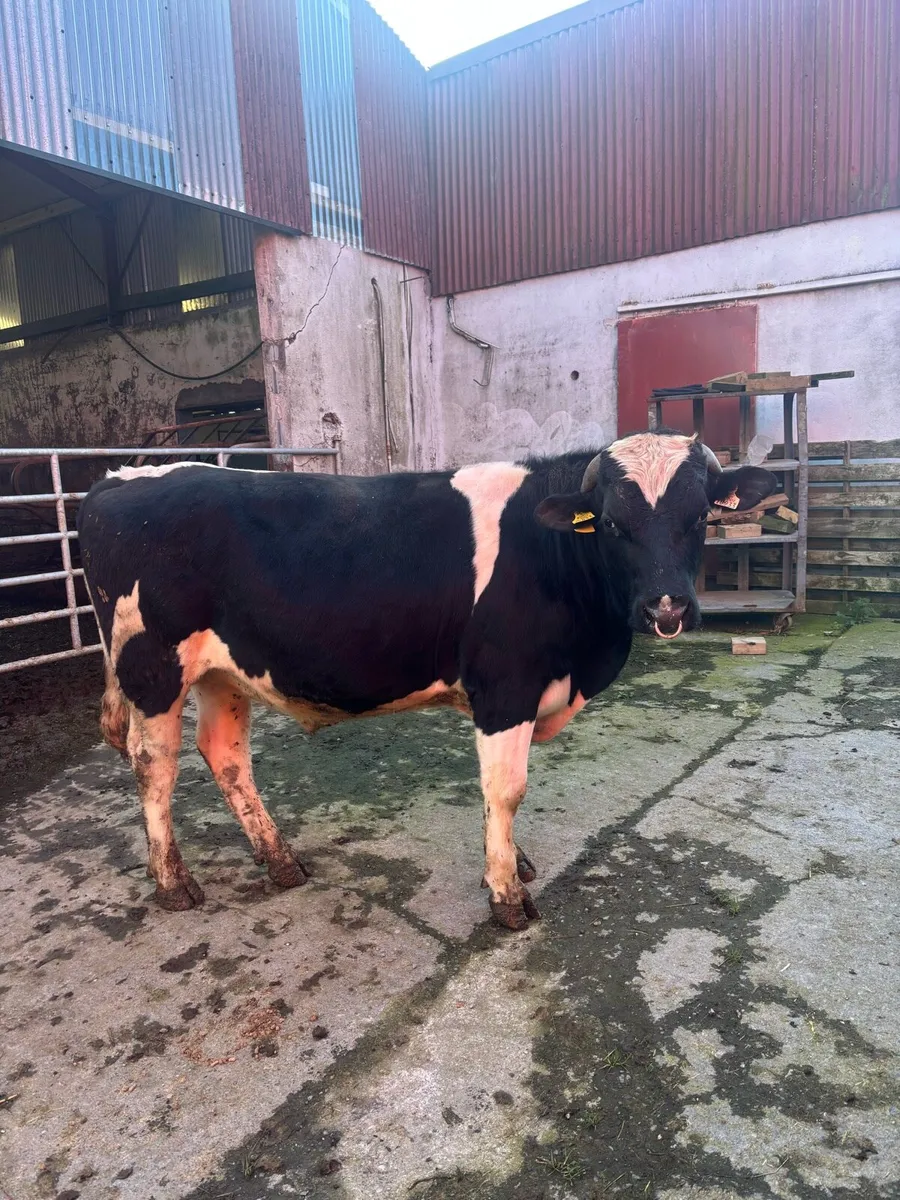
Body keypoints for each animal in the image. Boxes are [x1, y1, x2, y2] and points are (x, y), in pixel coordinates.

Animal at [77, 432, 777, 929]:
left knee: (224, 755)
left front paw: (513, 864)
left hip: (222, 672)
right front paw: (506, 894)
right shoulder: (505, 688)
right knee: (154, 762)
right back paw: (173, 883)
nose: (667, 606)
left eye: (699, 516)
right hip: (151, 666)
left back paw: (280, 861)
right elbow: (506, 789)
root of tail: (119, 479)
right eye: (610, 523)